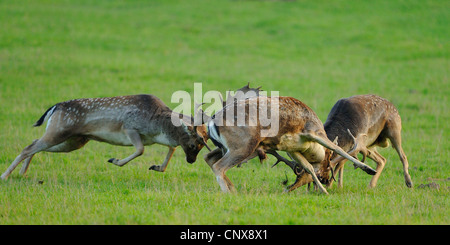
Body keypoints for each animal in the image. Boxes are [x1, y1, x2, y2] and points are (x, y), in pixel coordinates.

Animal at [0, 94, 209, 180]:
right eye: (193, 145)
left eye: (201, 146)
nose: (191, 161)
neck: (157, 125)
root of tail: (54, 108)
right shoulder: (129, 128)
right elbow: (140, 150)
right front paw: (113, 160)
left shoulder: (159, 139)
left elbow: (171, 148)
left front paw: (156, 167)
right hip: (59, 131)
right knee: (29, 147)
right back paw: (5, 176)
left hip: (73, 141)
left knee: (34, 144)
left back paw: (23, 173)